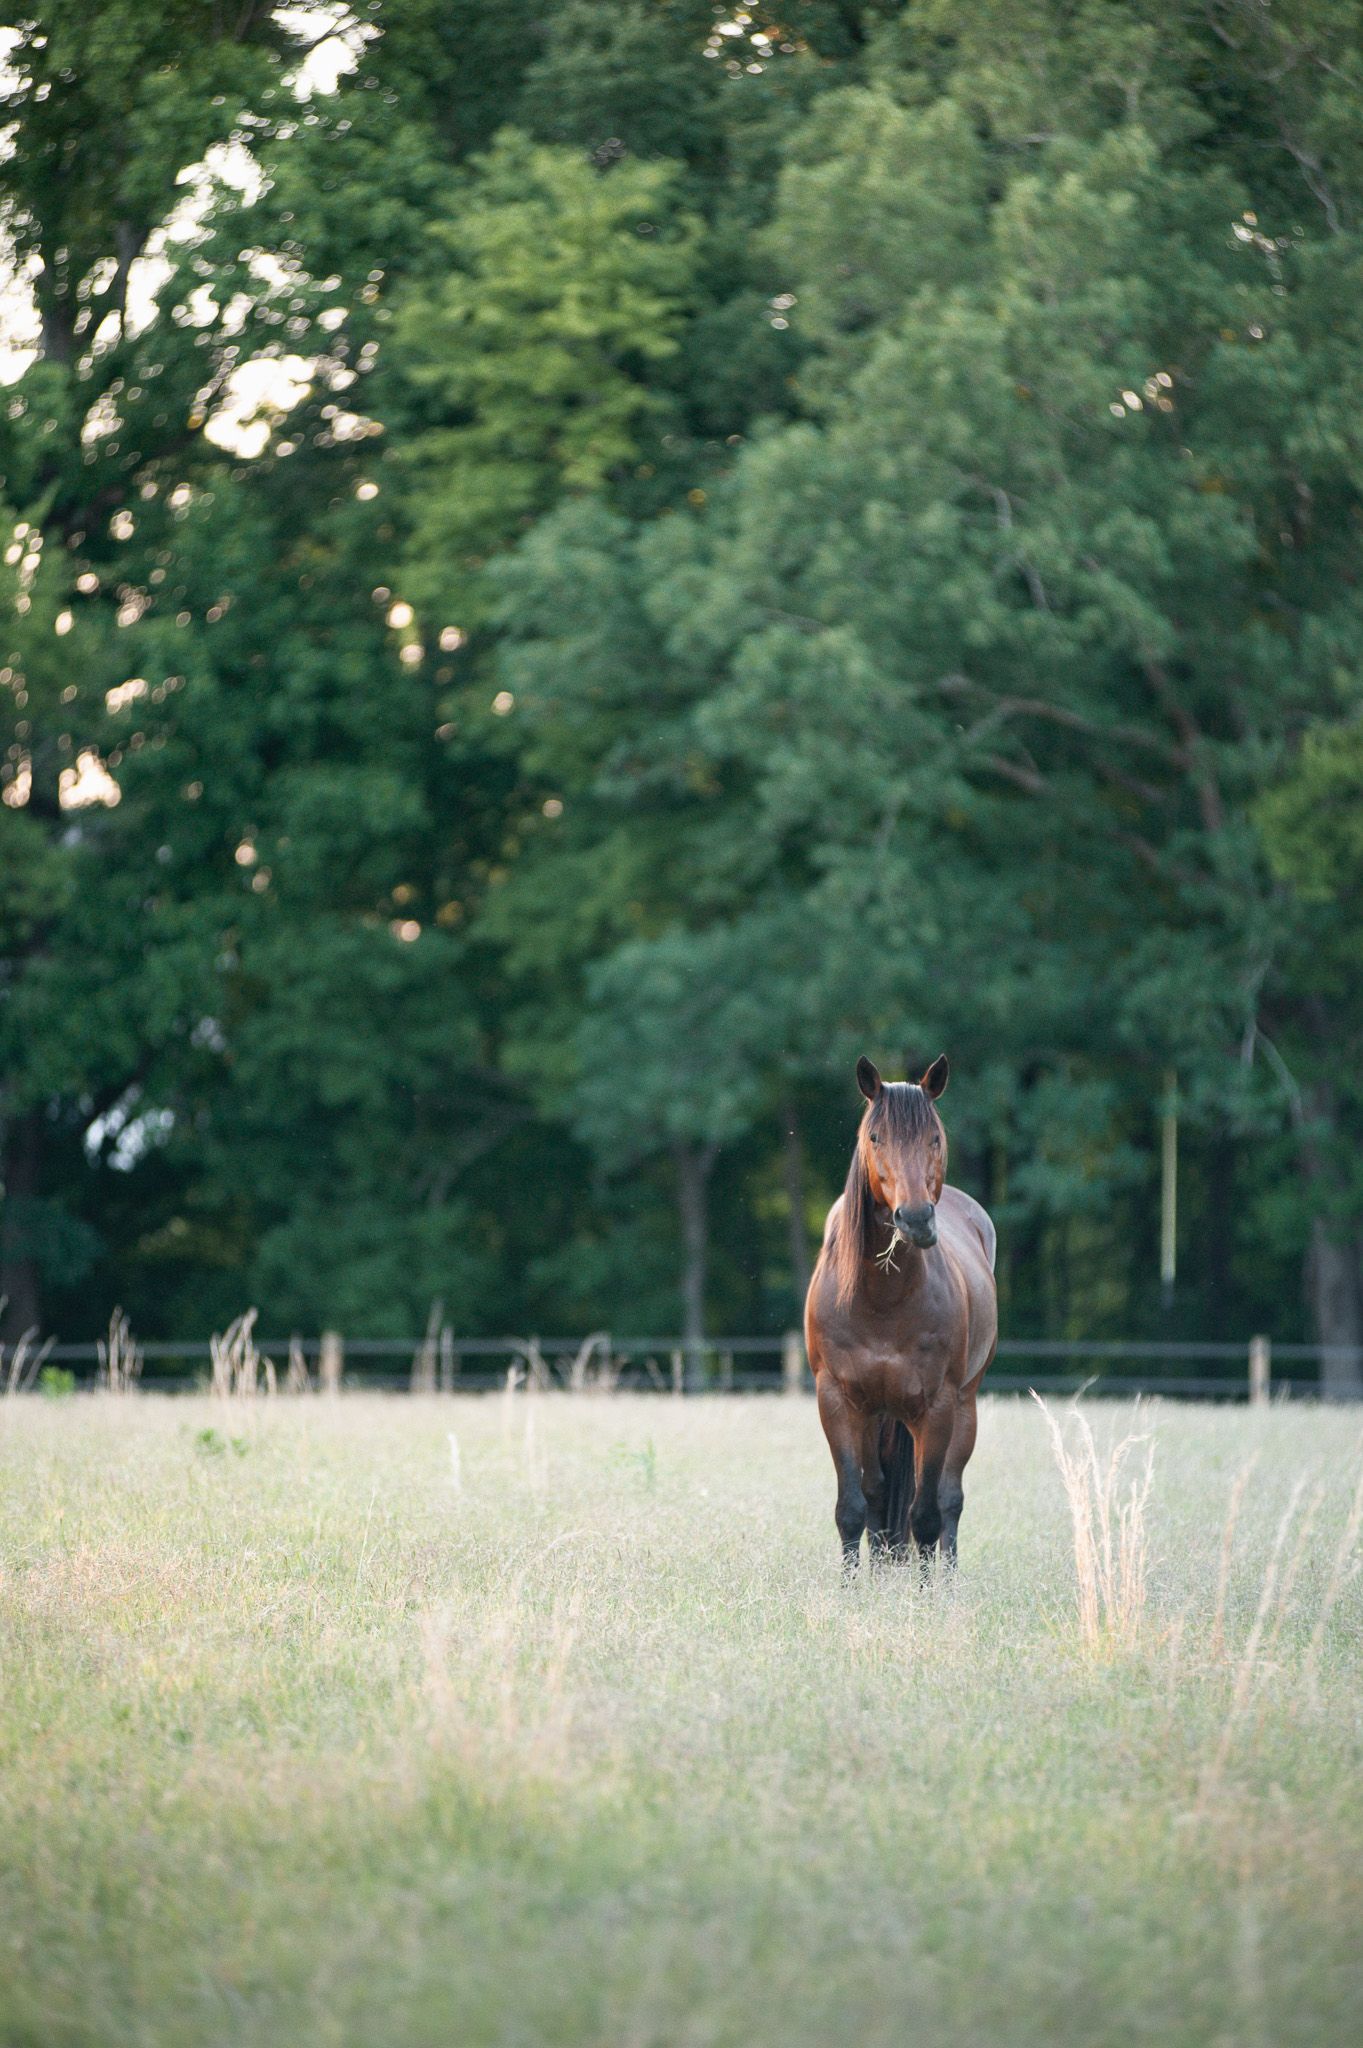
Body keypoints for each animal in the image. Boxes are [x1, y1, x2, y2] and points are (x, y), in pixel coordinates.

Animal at [805, 1055, 997, 1570]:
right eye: (875, 1137)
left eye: (935, 1137)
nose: (915, 1219)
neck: (881, 1301)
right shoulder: (838, 1402)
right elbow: (853, 1508)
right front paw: (854, 1585)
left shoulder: (938, 1407)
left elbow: (927, 1515)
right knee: (876, 1494)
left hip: (965, 1406)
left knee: (949, 1501)